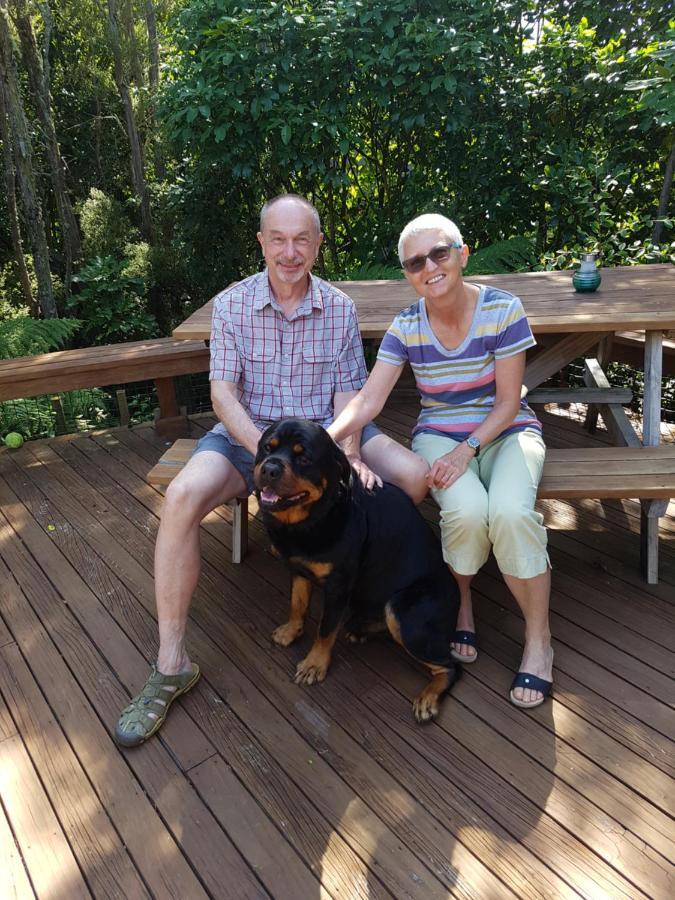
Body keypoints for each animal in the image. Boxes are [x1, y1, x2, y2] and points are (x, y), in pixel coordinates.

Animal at [255, 418, 464, 720]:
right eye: (266, 448)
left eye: (304, 458)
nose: (269, 468)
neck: (315, 518)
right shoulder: (299, 569)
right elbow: (297, 603)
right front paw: (291, 630)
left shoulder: (338, 587)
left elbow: (325, 629)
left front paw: (314, 664)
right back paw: (361, 628)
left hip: (404, 611)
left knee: (450, 666)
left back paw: (428, 697)